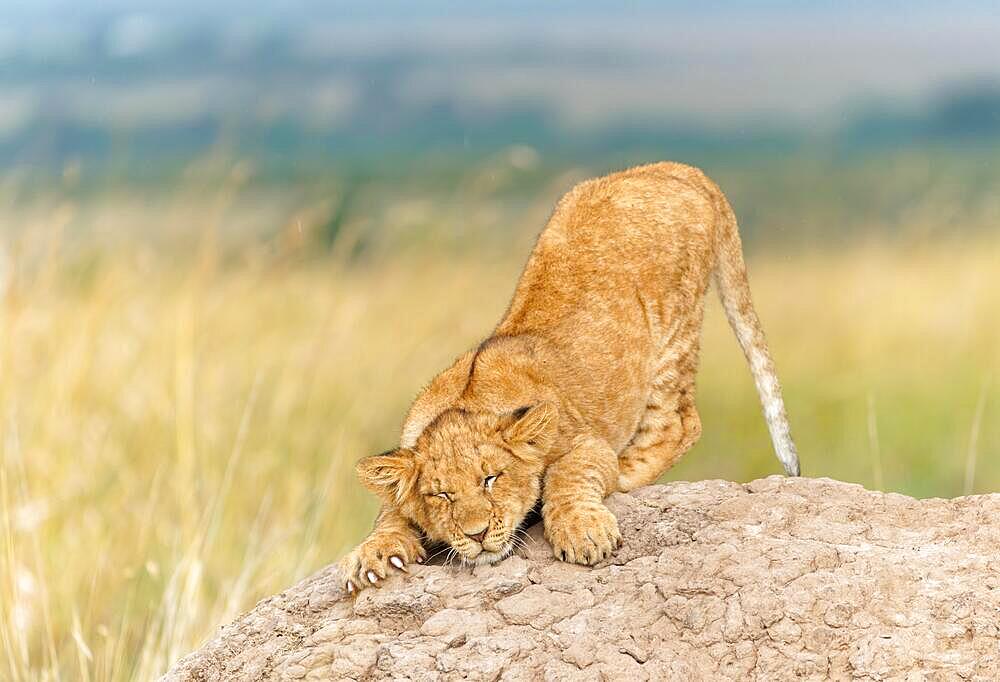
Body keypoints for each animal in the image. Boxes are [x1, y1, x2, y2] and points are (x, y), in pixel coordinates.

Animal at [340, 159, 800, 588]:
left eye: (491, 479)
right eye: (441, 494)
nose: (477, 534)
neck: (465, 403)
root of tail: (673, 168)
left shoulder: (584, 441)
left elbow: (567, 475)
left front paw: (583, 532)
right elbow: (388, 513)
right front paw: (373, 554)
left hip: (673, 335)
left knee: (679, 425)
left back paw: (623, 474)